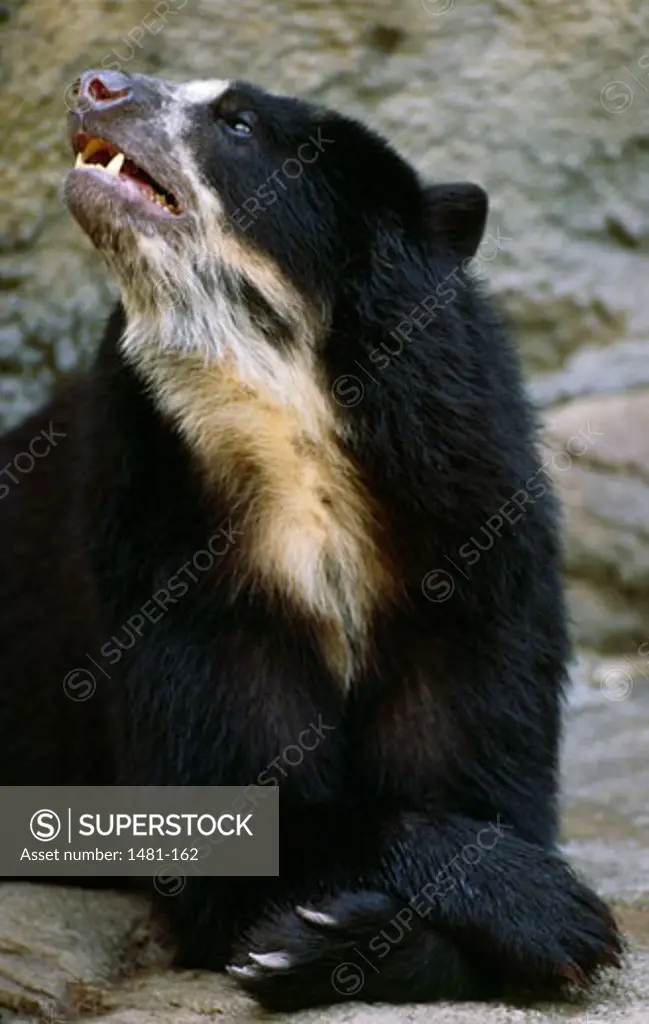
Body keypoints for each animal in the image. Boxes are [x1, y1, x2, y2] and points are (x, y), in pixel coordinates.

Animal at [0, 70, 622, 1007]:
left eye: (239, 124)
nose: (94, 84)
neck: (288, 426)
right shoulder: (166, 559)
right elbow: (236, 823)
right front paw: (550, 913)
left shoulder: (471, 556)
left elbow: (481, 776)